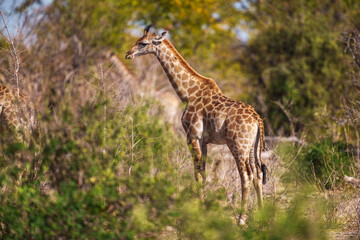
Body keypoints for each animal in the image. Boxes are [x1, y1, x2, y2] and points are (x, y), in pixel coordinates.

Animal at [126, 24, 268, 223]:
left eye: (143, 43)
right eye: (138, 40)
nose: (128, 54)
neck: (187, 93)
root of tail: (257, 120)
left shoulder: (191, 135)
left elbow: (197, 173)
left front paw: (199, 209)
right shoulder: (204, 140)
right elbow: (204, 172)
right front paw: (204, 206)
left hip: (238, 145)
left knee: (246, 176)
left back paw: (241, 219)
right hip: (254, 147)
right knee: (258, 174)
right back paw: (262, 215)